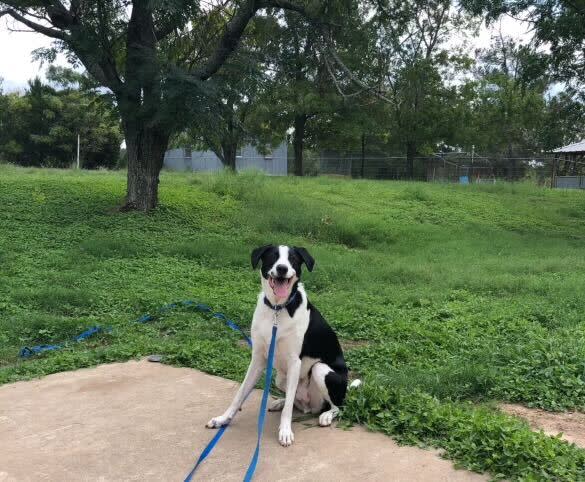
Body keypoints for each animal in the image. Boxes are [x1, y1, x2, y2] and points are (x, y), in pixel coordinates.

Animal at [208, 247, 358, 446]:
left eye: (293, 258)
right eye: (273, 256)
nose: (282, 269)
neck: (277, 309)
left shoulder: (295, 362)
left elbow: (288, 410)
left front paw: (285, 431)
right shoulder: (258, 358)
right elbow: (240, 394)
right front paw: (223, 419)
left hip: (321, 370)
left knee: (336, 405)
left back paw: (327, 415)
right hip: (280, 378)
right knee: (293, 399)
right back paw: (280, 402)